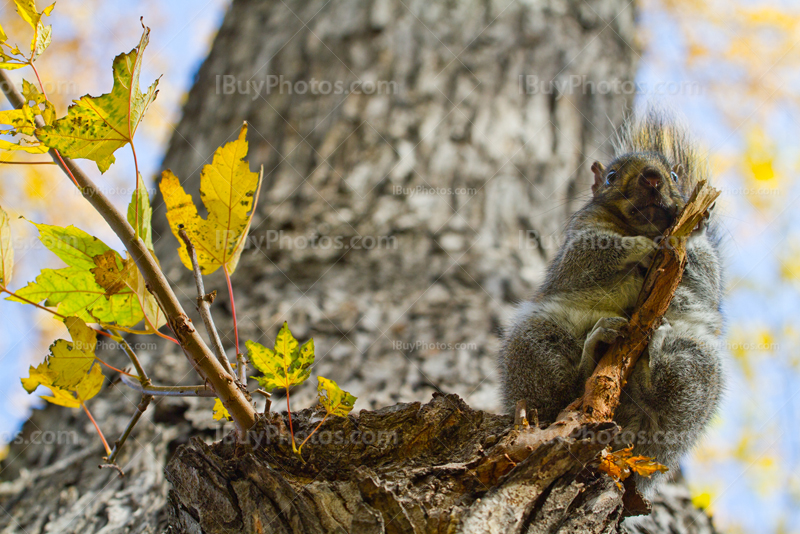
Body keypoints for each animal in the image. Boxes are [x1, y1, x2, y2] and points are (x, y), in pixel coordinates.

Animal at [496, 110, 720, 498]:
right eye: (612, 177)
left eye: (675, 176)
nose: (652, 178)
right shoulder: (578, 242)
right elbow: (592, 253)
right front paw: (641, 246)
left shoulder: (706, 274)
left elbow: (705, 278)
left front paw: (692, 229)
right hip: (536, 339)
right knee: (567, 387)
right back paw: (596, 347)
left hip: (698, 362)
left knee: (662, 399)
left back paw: (651, 361)